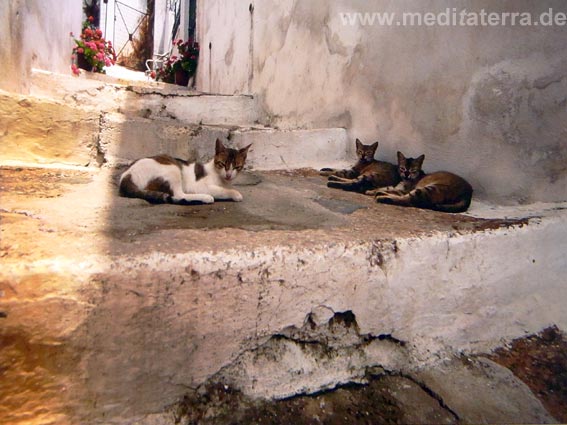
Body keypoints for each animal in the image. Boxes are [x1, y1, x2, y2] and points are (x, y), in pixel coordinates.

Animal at [119, 139, 251, 204]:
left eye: (237, 167)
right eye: (222, 164)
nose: (228, 175)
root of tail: (126, 175)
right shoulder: (199, 186)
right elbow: (224, 191)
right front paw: (235, 194)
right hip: (173, 169)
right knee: (178, 195)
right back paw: (205, 198)